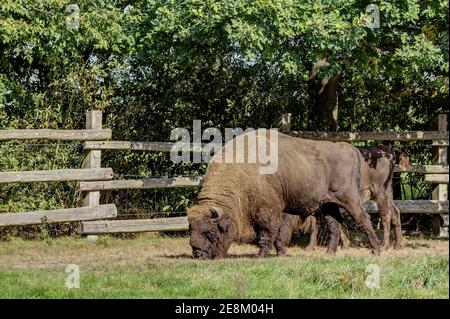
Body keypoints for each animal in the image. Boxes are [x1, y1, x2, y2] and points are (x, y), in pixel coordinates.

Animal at [188, 131, 382, 258]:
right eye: (191, 229)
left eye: (210, 232)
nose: (198, 253)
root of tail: (348, 148)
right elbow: (277, 234)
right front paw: (281, 252)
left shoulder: (267, 212)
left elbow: (267, 233)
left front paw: (261, 255)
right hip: (329, 204)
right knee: (335, 225)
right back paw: (328, 253)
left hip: (349, 199)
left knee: (363, 219)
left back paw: (376, 251)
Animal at [274, 146, 412, 254]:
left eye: (282, 218)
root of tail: (389, 150)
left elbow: (321, 223)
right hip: (385, 194)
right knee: (395, 211)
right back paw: (398, 245)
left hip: (379, 192)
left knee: (386, 215)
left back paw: (383, 245)